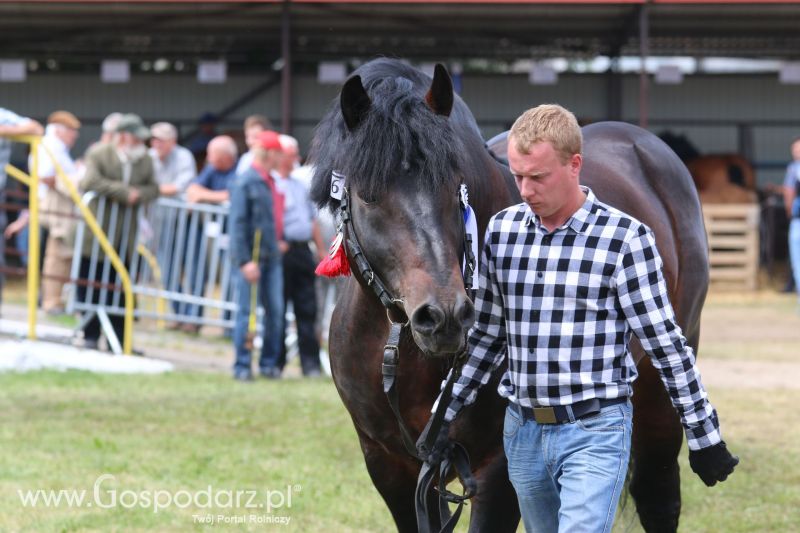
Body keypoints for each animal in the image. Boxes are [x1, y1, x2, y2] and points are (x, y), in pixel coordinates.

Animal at [310, 56, 708, 528]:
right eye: (368, 195)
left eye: (455, 186)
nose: (444, 317)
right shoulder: (391, 466)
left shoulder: (497, 468)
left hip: (660, 392)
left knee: (657, 493)